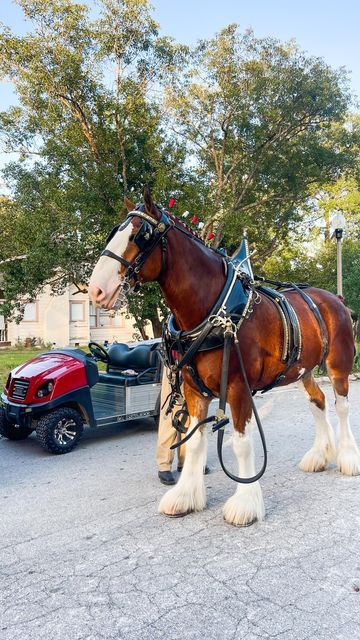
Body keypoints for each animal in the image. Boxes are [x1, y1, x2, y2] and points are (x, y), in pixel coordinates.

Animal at [88, 191, 358, 524]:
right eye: (114, 232)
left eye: (141, 235)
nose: (96, 290)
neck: (215, 312)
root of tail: (335, 298)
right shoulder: (194, 390)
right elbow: (194, 442)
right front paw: (185, 496)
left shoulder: (239, 387)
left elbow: (241, 443)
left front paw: (245, 503)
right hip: (303, 369)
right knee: (317, 401)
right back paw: (319, 455)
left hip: (338, 364)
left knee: (341, 405)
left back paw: (348, 458)